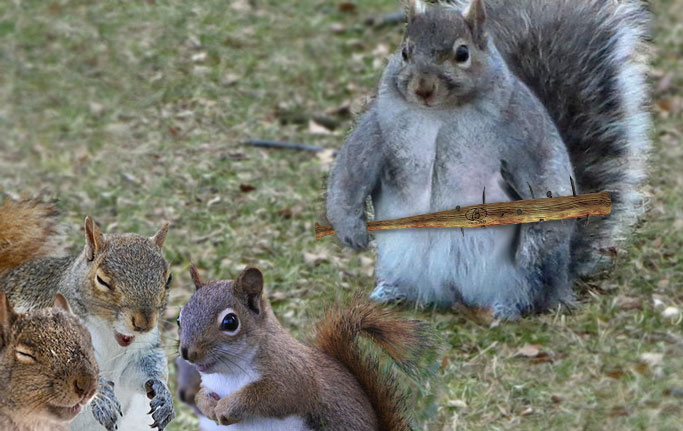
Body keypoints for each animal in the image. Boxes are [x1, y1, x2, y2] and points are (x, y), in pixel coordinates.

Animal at [176, 264, 432, 430]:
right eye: (179, 318)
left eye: (230, 322)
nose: (187, 352)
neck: (228, 375)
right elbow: (201, 395)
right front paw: (207, 406)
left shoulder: (295, 376)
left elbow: (270, 395)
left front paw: (226, 408)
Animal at [326, 0, 652, 318]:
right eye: (405, 52)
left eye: (462, 53)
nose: (423, 88)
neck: (440, 114)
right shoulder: (377, 128)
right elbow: (350, 172)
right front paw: (351, 230)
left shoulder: (523, 129)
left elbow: (546, 174)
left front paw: (532, 246)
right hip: (401, 258)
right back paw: (393, 292)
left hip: (524, 277)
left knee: (531, 294)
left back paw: (508, 307)